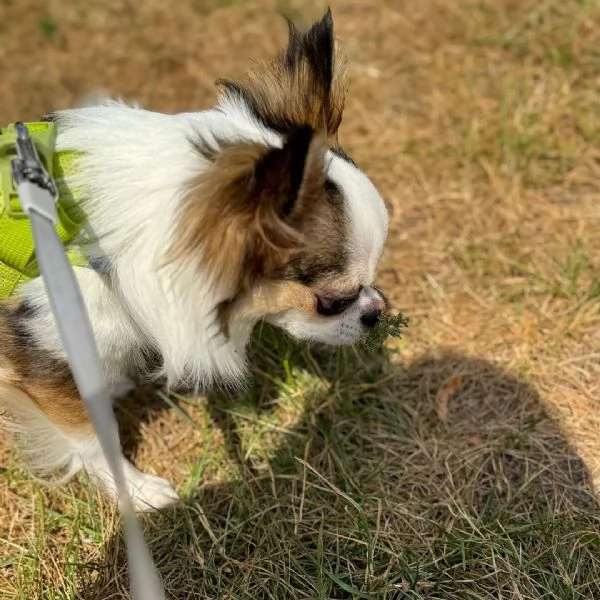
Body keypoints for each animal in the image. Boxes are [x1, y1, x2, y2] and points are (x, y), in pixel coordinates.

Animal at [0, 8, 390, 510]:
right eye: (332, 301)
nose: (377, 311)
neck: (85, 242)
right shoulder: (47, 366)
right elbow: (93, 442)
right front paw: (138, 492)